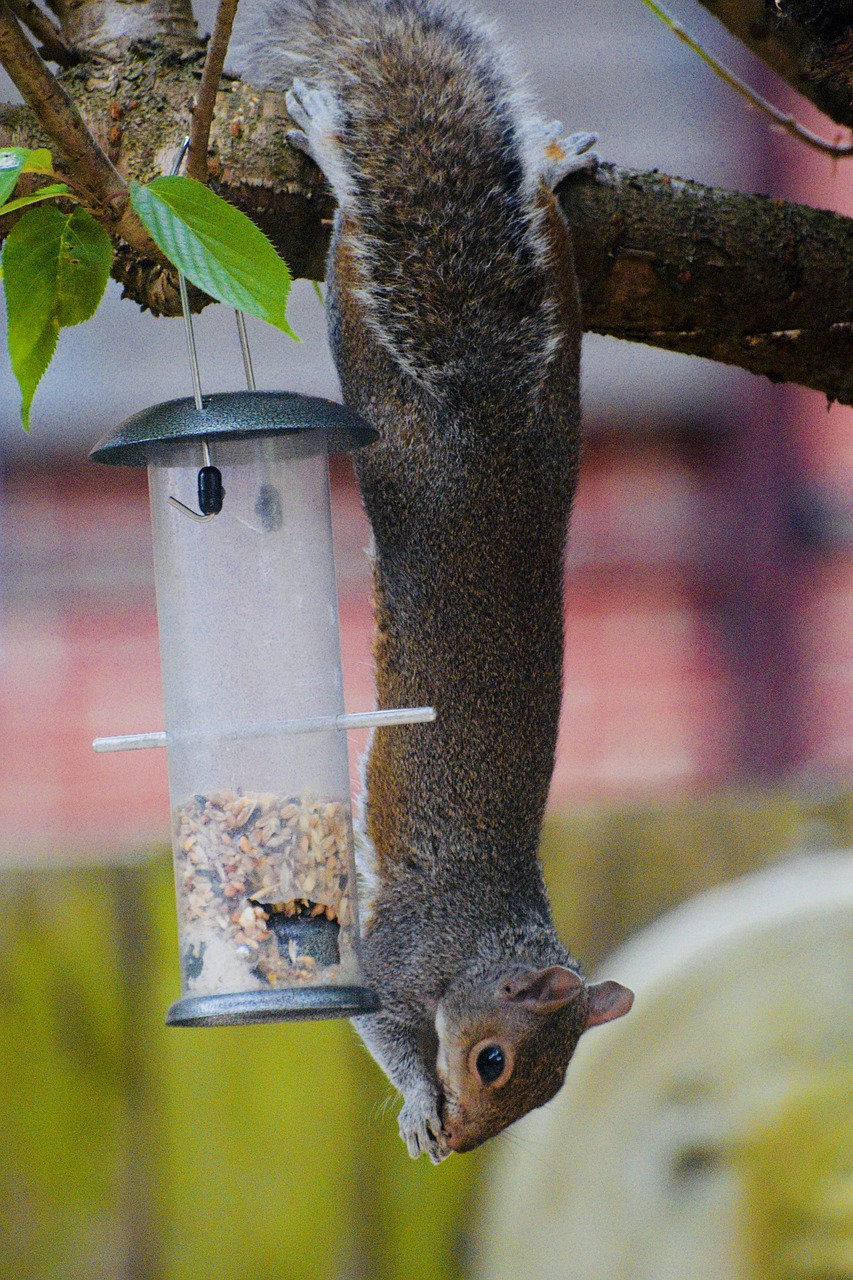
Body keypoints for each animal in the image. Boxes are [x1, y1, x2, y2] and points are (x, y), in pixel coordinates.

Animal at [236, 0, 630, 1162]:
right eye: (492, 1061)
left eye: (543, 1093)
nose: (460, 1140)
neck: (479, 939)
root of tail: (485, 407)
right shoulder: (397, 954)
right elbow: (381, 1029)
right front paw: (415, 1102)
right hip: (382, 394)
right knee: (350, 263)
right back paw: (330, 143)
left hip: (559, 363)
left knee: (539, 234)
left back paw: (548, 164)